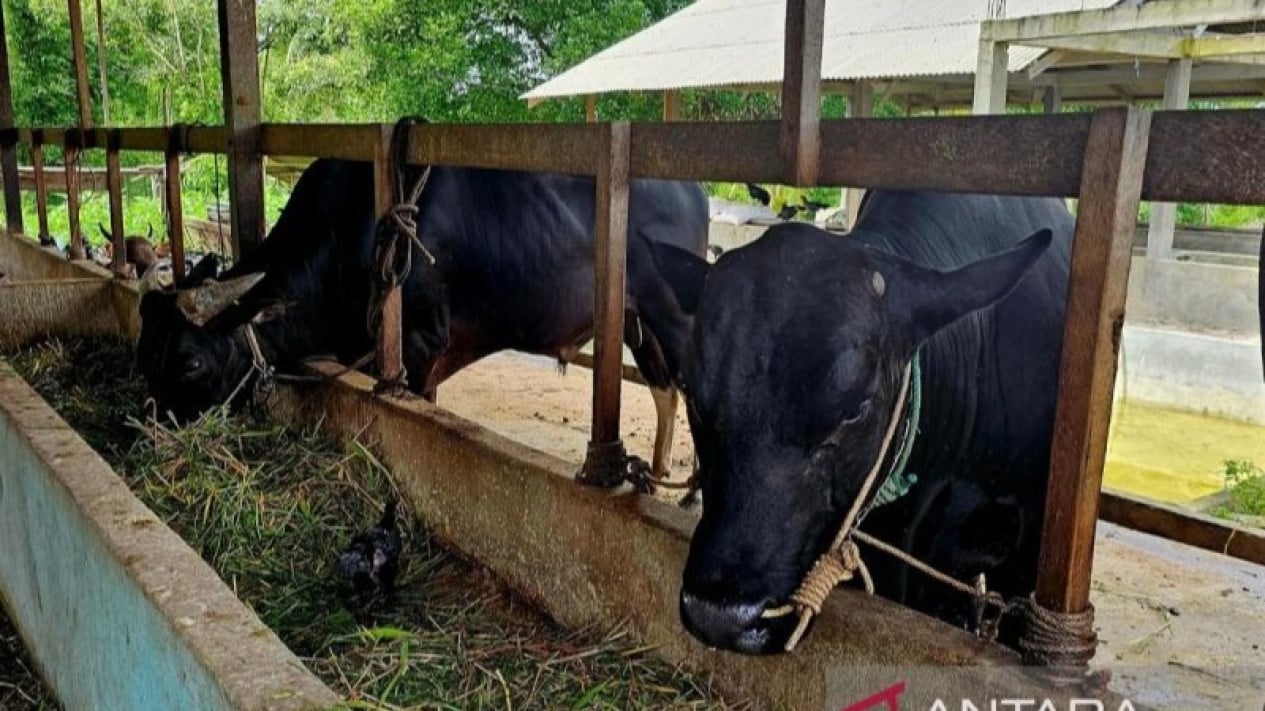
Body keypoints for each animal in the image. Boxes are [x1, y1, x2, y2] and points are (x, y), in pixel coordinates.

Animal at [135, 159, 708, 480]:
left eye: (190, 362)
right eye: (146, 351)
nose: (151, 436)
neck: (349, 235)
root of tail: (693, 188)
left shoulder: (419, 348)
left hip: (673, 318)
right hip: (636, 324)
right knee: (666, 389)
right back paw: (659, 473)